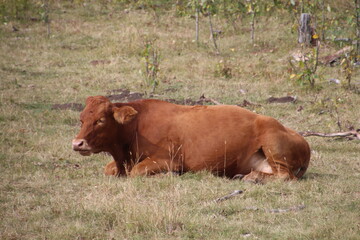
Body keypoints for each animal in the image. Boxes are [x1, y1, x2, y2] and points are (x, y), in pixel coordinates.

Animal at [72, 95, 310, 184]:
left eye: (100, 120)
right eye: (81, 119)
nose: (77, 144)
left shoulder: (168, 160)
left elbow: (137, 172)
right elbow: (109, 169)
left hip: (272, 142)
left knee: (286, 176)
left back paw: (251, 178)